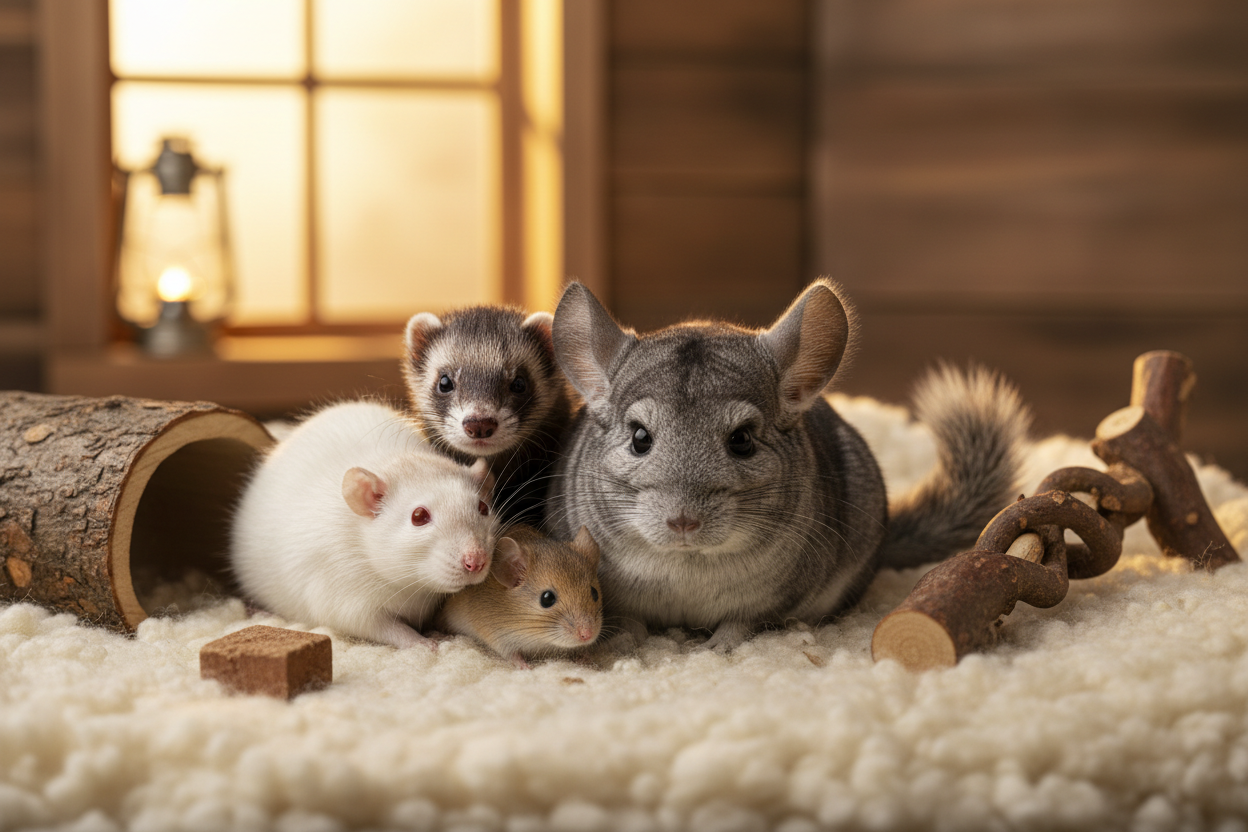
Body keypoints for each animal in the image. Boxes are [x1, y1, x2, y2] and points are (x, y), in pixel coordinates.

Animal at [230, 400, 498, 649]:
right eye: (419, 516)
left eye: (483, 508)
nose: (476, 561)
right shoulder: (342, 584)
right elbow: (373, 625)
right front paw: (421, 642)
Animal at [434, 524, 602, 668]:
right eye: (547, 598)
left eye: (594, 593)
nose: (588, 635)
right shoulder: (497, 636)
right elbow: (513, 655)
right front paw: (526, 667)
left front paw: (586, 658)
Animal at [546, 279, 1031, 651]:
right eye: (639, 438)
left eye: (741, 441)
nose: (683, 522)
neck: (688, 565)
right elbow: (629, 620)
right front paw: (626, 642)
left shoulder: (775, 599)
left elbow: (742, 623)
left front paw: (717, 649)